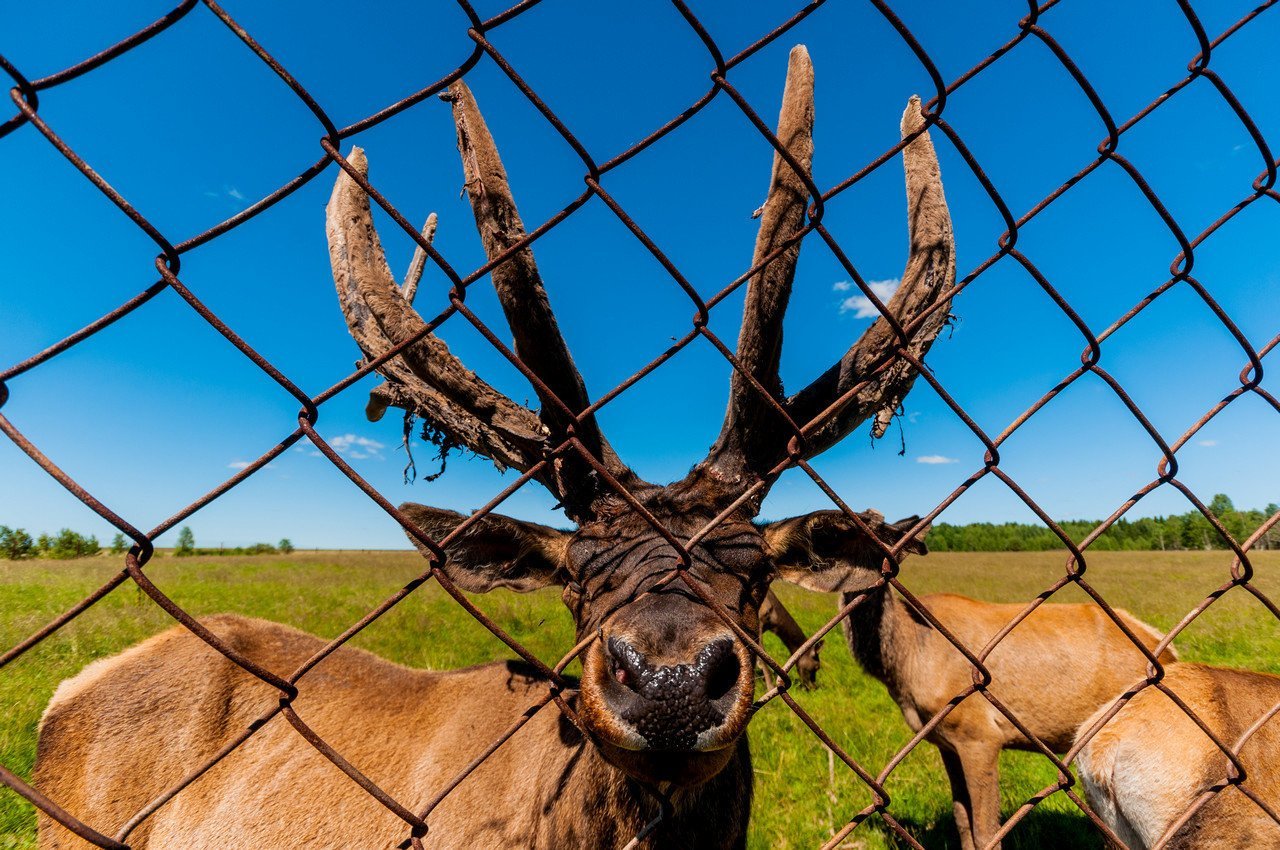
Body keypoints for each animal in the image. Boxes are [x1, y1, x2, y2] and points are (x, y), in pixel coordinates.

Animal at [819, 522, 1177, 850]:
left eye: (882, 536)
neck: (906, 663)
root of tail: (1167, 652)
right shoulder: (946, 742)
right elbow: (962, 821)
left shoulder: (979, 733)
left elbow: (986, 830)